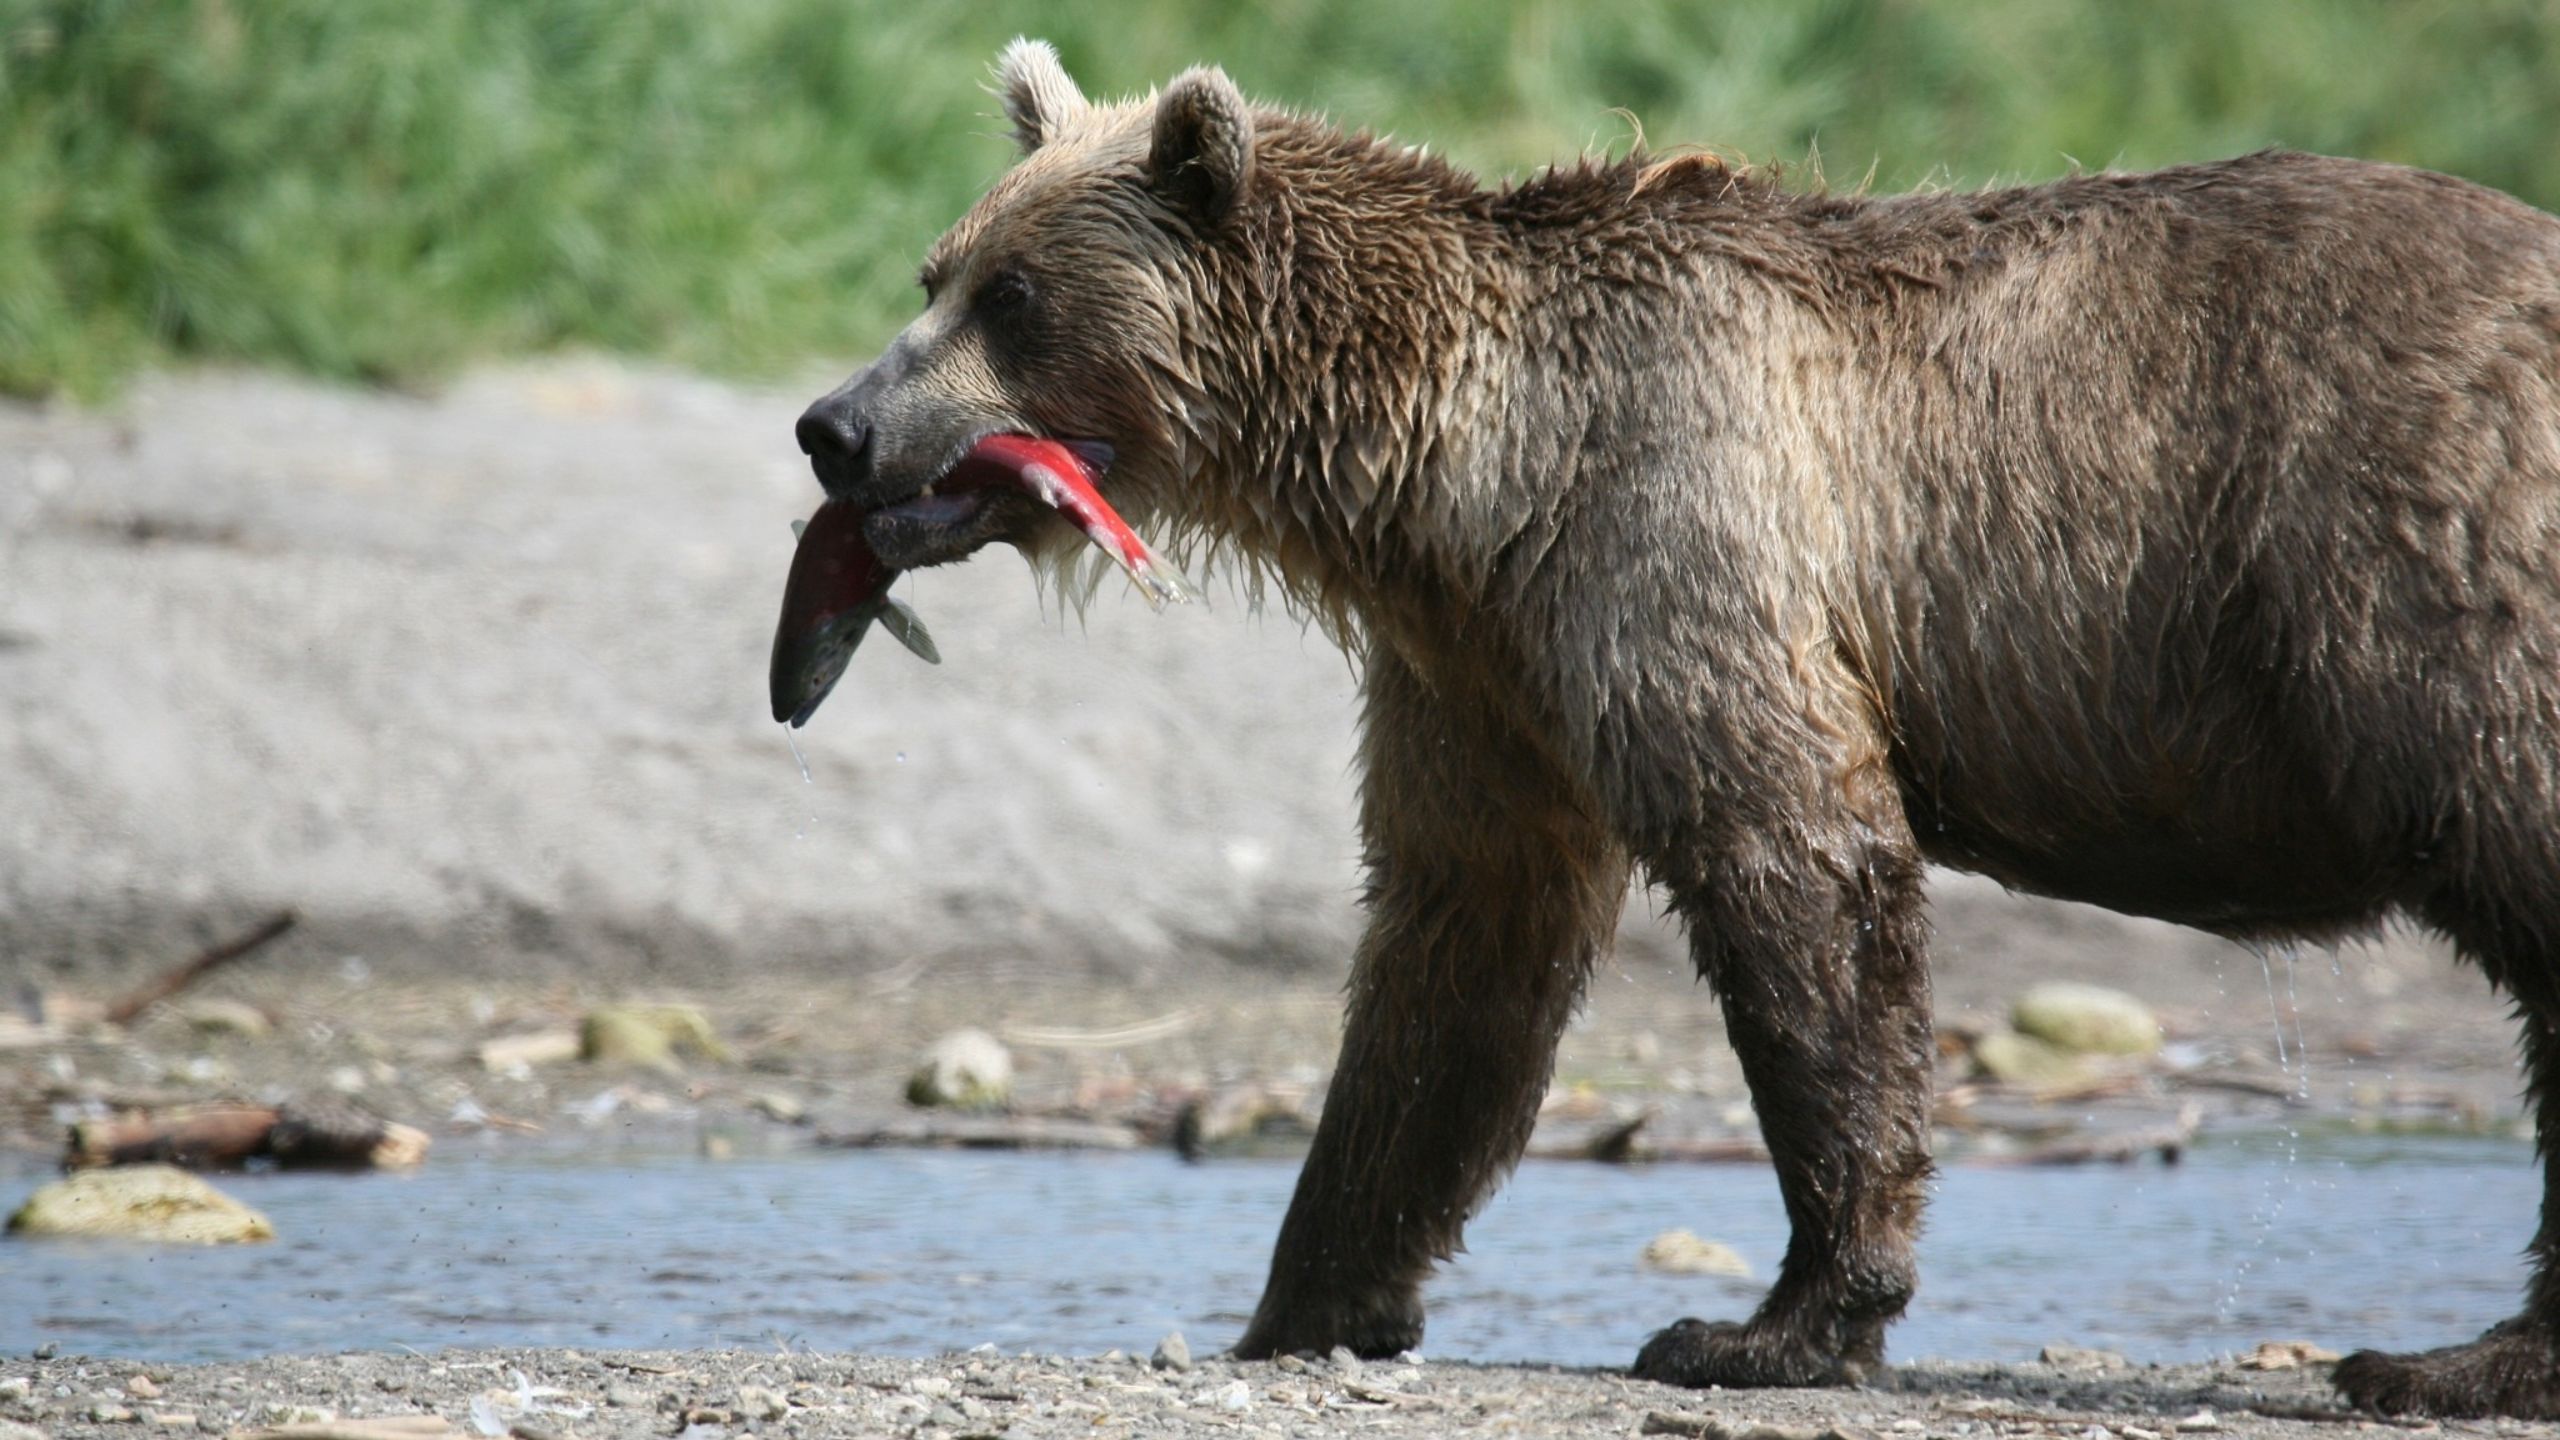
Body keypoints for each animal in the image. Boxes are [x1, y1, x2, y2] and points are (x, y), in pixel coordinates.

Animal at [788, 39, 2560, 1414]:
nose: (834, 423)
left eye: (1012, 293)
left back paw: (2451, 1359)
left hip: (2411, 564)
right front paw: (1304, 1301)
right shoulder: (1483, 670)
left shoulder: (1680, 529)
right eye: (938, 270)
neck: (1460, 476)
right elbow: (1456, 956)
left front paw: (1764, 1325)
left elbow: (1798, 876)